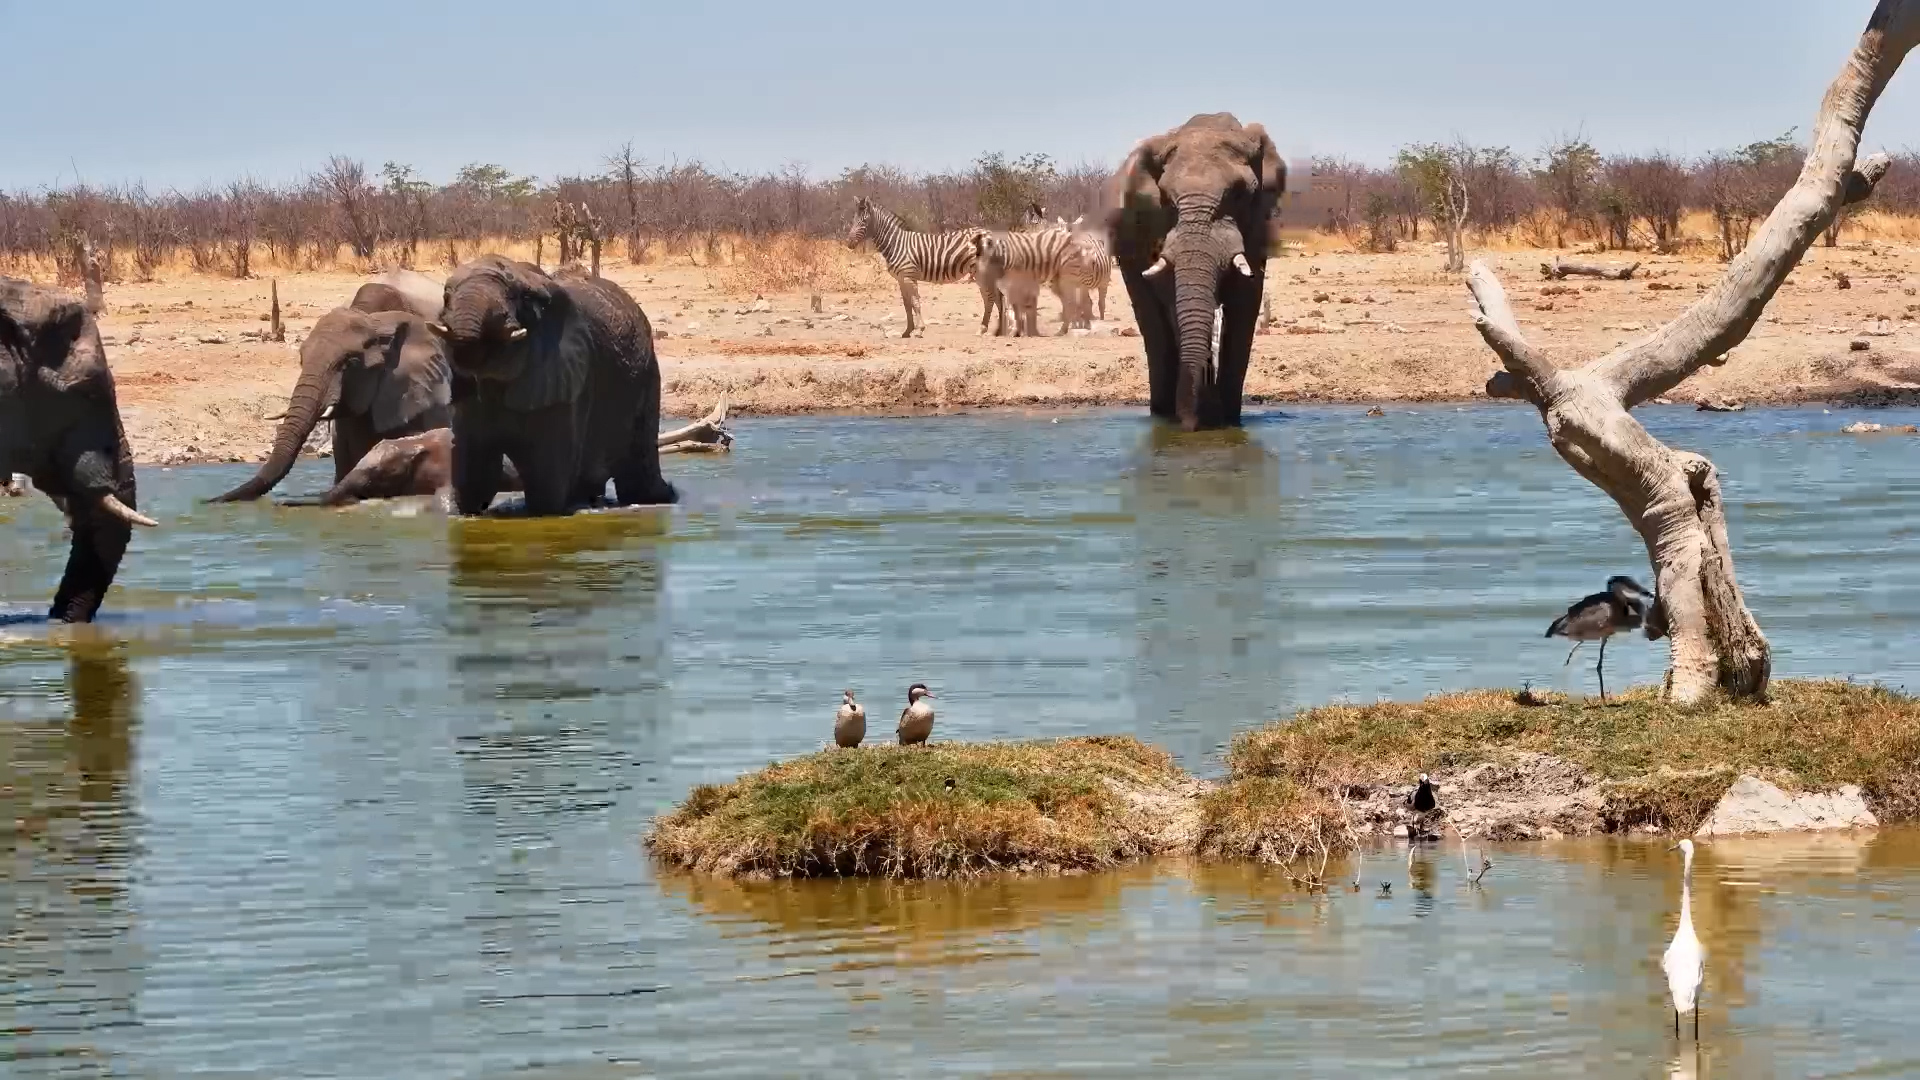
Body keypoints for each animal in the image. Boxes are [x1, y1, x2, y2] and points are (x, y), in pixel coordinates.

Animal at [434, 255, 675, 515]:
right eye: (446, 297)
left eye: (519, 297)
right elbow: (473, 477)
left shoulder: (567, 376)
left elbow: (546, 486)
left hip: (648, 373)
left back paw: (660, 497)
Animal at [1105, 113, 1285, 430]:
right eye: (1165, 198)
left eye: (1239, 194)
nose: (1193, 424)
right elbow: (1173, 301)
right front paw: (1202, 416)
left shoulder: (1256, 227)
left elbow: (1244, 304)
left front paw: (1226, 420)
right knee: (1152, 322)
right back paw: (1164, 414)